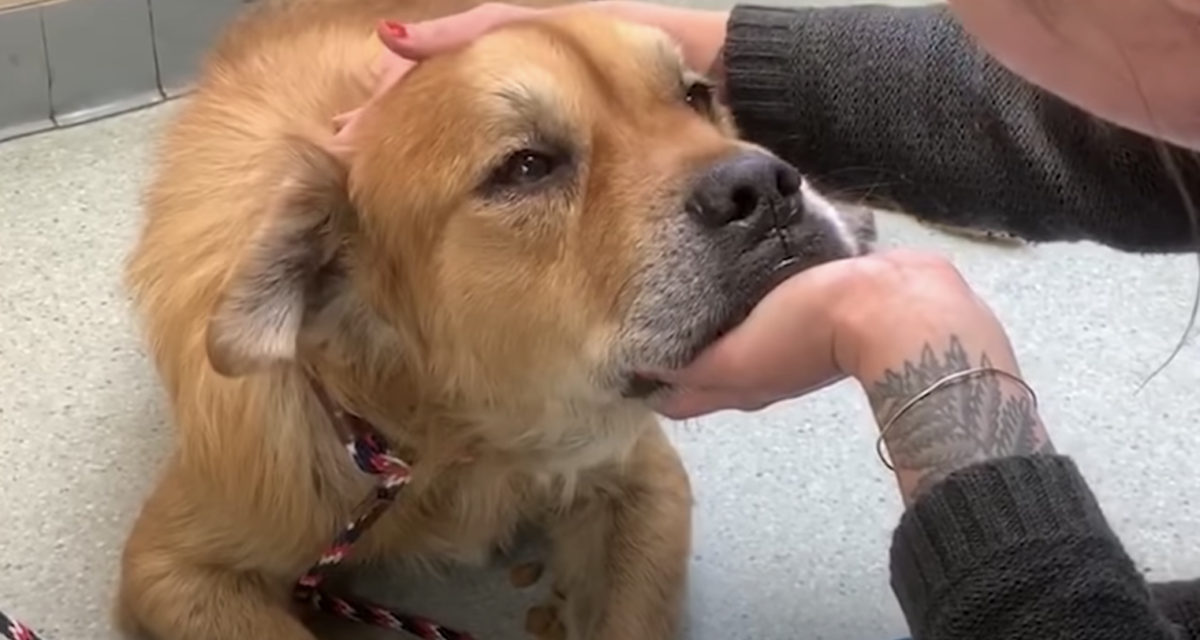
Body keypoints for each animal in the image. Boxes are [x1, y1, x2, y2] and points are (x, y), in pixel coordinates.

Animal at [119, 0, 873, 633]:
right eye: (527, 166)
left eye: (695, 96)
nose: (764, 188)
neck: (457, 442)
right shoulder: (173, 566)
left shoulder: (643, 479)